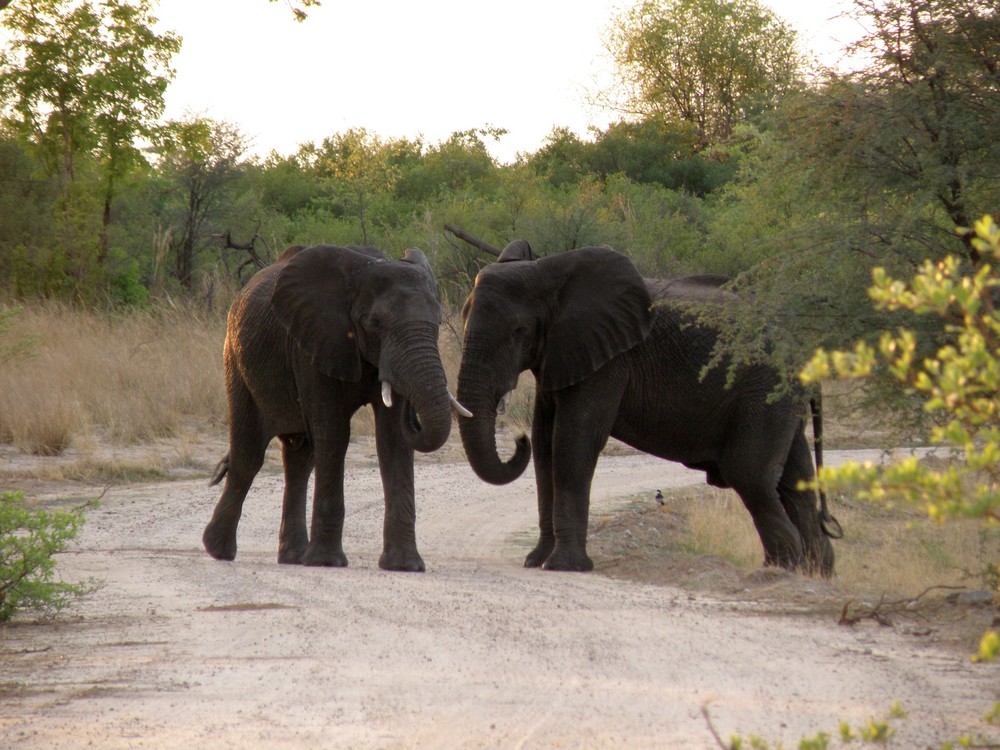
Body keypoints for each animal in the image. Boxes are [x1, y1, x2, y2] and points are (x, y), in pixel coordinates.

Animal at [204, 245, 468, 568]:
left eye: (438, 322)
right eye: (375, 324)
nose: (413, 413)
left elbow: (392, 440)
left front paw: (405, 566)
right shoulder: (313, 342)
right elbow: (333, 433)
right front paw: (327, 562)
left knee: (299, 460)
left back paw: (294, 557)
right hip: (235, 359)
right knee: (249, 455)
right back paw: (219, 550)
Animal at [460, 241, 836, 576]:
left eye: (518, 331)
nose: (515, 440)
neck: (546, 269)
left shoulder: (609, 359)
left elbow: (573, 438)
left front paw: (564, 567)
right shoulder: (562, 353)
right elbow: (545, 443)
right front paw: (535, 561)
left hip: (765, 389)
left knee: (750, 475)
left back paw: (781, 569)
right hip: (780, 399)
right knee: (795, 480)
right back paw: (815, 573)